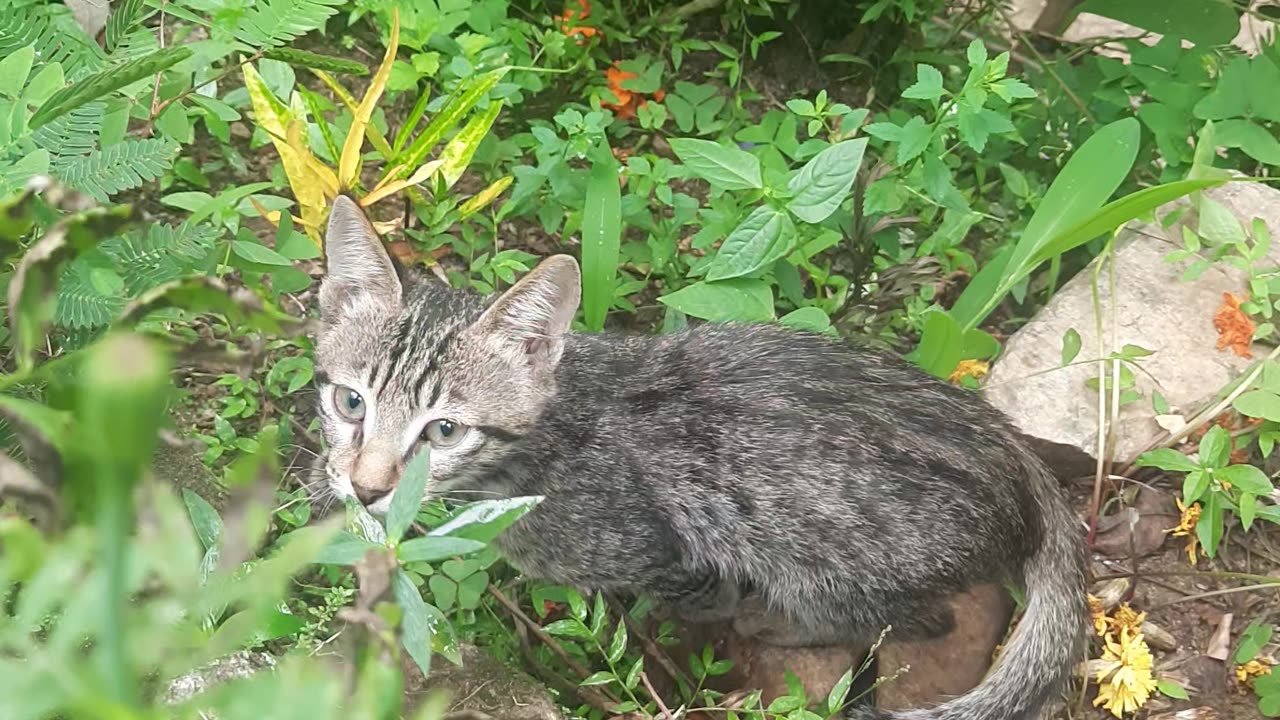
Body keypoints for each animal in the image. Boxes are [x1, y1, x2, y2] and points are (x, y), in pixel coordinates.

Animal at [309, 196, 1080, 717]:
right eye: (350, 404)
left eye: (443, 433)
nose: (367, 488)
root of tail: (1007, 446)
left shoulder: (669, 553)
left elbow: (700, 598)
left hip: (829, 564)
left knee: (921, 618)